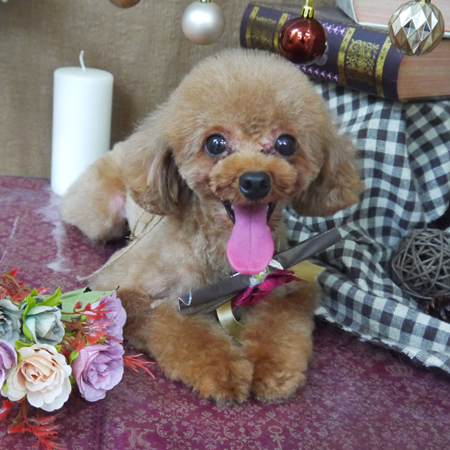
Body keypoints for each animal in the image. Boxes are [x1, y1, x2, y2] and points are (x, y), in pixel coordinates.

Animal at [60, 49, 361, 404]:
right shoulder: (117, 287)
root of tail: (128, 144)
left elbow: (280, 323)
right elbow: (175, 326)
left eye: (286, 144)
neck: (222, 259)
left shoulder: (290, 279)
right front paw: (223, 369)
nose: (255, 180)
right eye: (215, 144)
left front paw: (272, 368)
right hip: (99, 215)